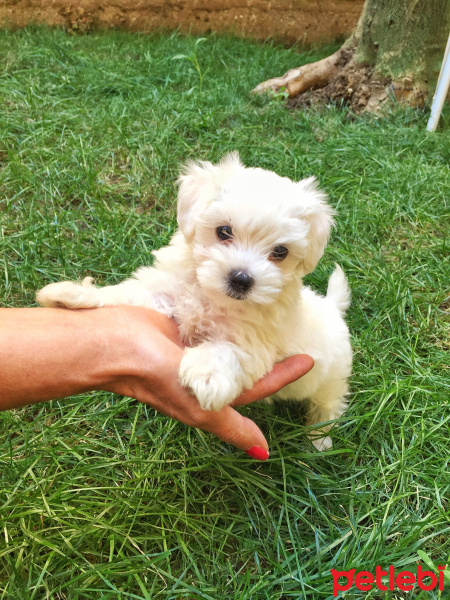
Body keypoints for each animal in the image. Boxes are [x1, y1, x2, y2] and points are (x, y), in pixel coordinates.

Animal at [37, 155, 352, 450]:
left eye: (280, 252)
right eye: (223, 231)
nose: (241, 278)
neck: (210, 296)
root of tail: (332, 308)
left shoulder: (255, 342)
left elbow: (228, 350)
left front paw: (207, 374)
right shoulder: (165, 294)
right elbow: (129, 295)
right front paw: (76, 295)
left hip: (332, 379)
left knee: (329, 404)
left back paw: (319, 439)